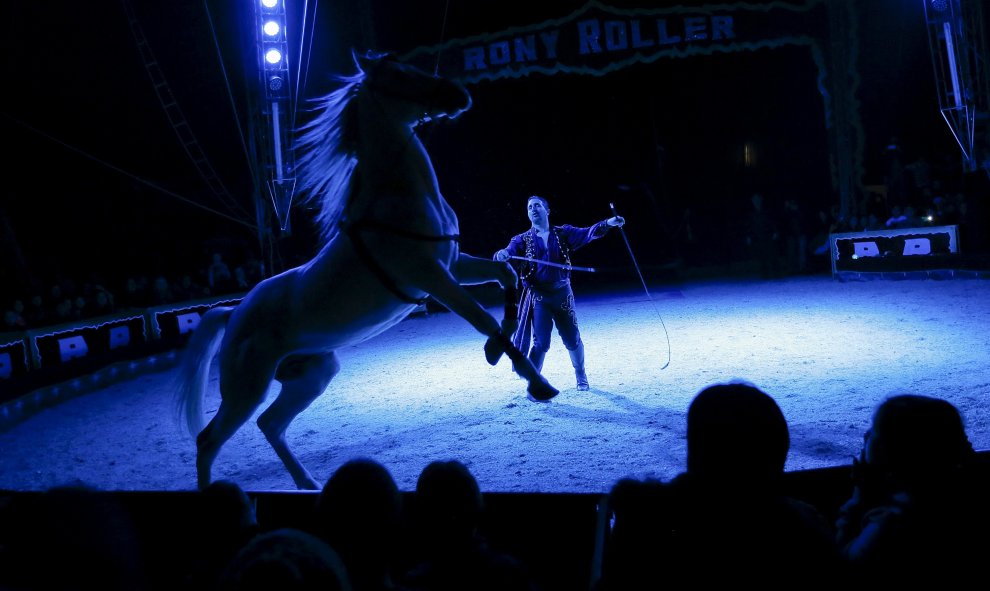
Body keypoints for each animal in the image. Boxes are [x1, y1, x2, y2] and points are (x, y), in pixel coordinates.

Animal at [172, 51, 560, 492]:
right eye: (398, 75)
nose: (457, 94)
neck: (398, 200)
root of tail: (233, 313)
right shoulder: (432, 277)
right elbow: (483, 318)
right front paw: (537, 382)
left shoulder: (454, 264)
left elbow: (507, 277)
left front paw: (496, 352)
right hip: (246, 389)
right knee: (209, 439)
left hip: (313, 375)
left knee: (270, 424)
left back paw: (307, 482)